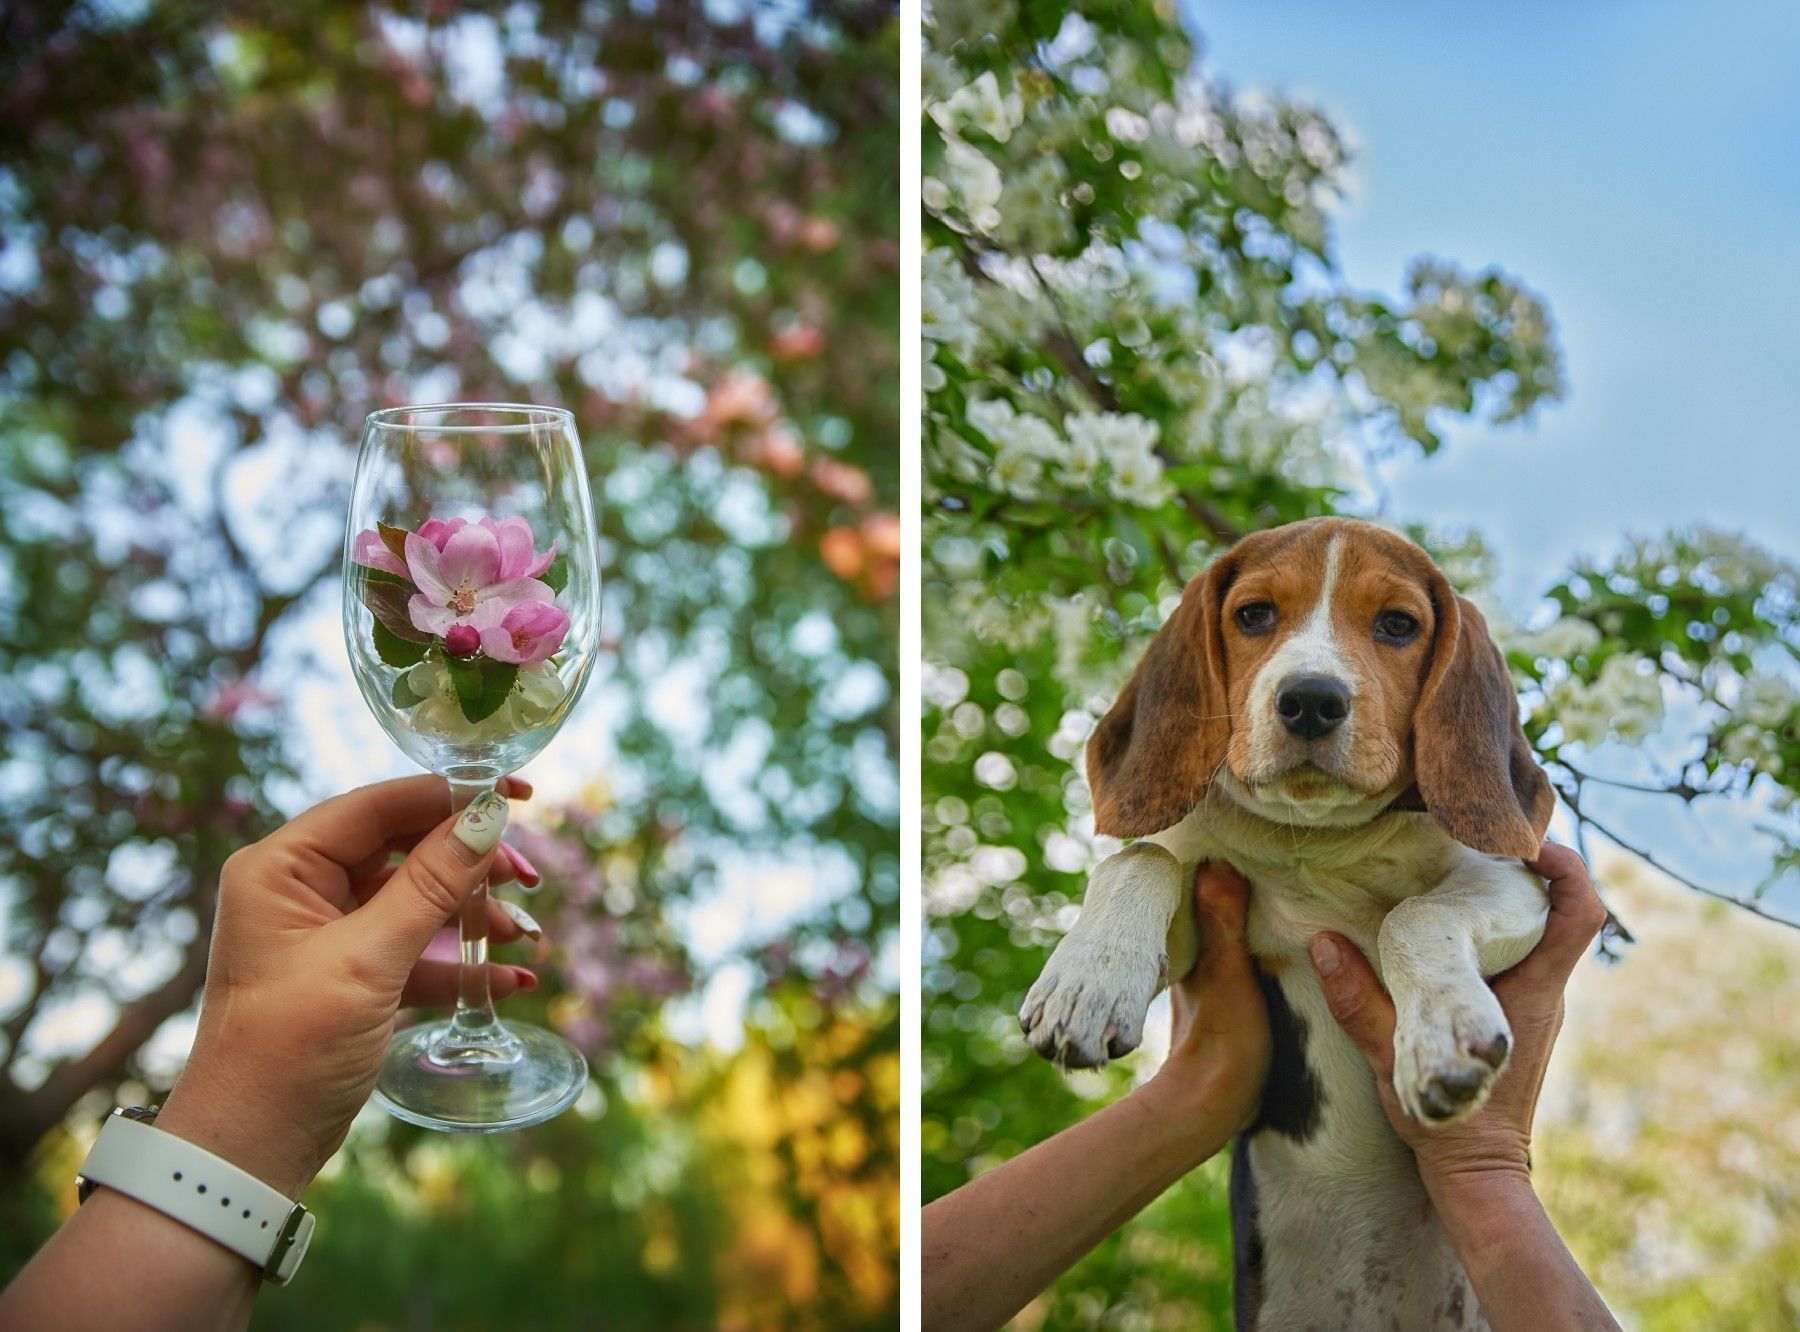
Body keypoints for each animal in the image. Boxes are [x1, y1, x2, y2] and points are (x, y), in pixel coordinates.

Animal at [1029, 518, 1562, 1332]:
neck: (1312, 841)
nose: (1311, 699)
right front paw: (1086, 984)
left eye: (1398, 625)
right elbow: (1141, 859)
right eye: (1253, 615)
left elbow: (1413, 915)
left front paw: (1441, 1034)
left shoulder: (1515, 882)